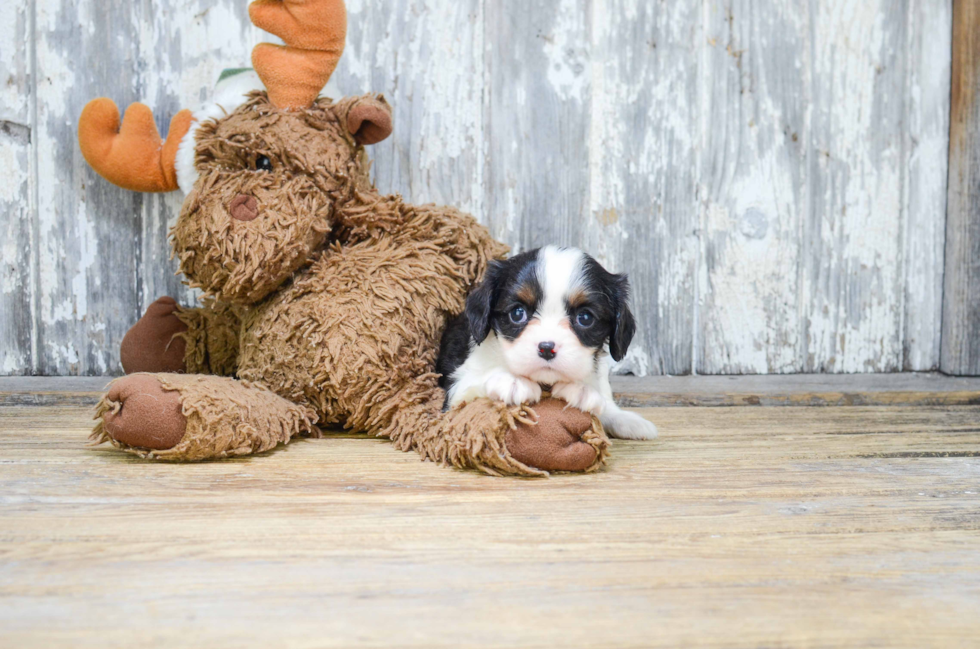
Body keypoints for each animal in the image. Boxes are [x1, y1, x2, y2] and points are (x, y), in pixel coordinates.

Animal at [436, 244, 660, 440]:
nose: (546, 349)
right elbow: (474, 382)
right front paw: (511, 380)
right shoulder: (457, 395)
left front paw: (592, 397)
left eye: (585, 318)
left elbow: (603, 399)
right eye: (517, 313)